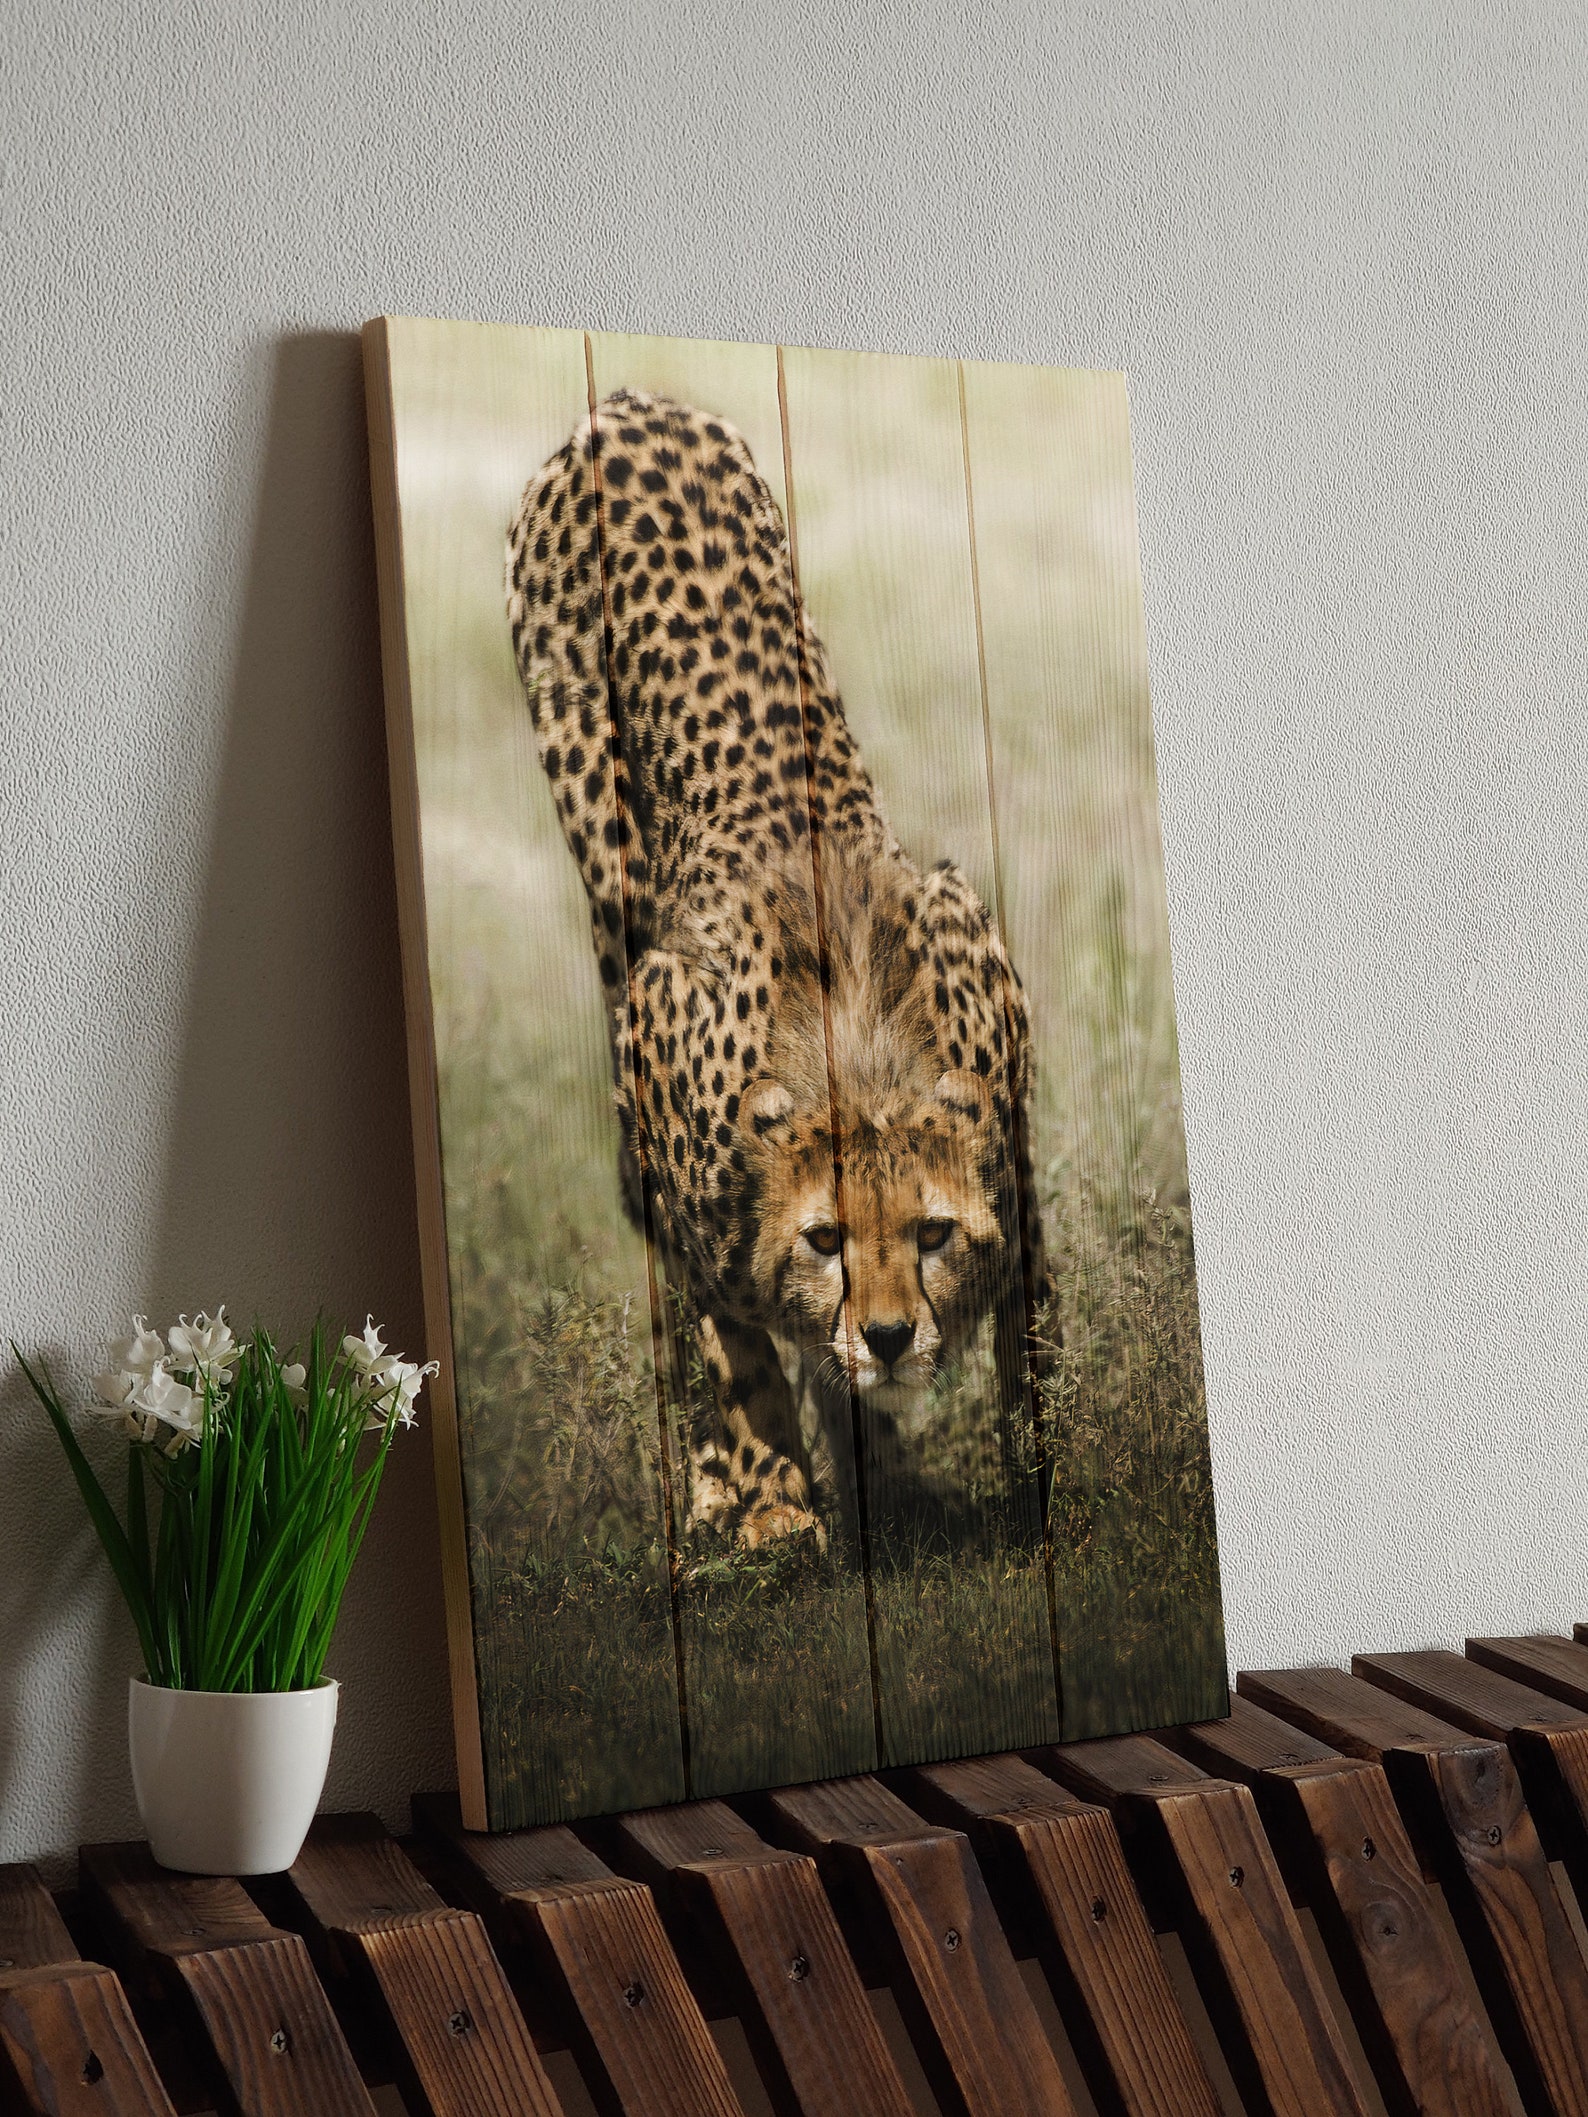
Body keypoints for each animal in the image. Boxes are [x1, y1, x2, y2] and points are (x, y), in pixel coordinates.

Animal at [506, 387, 1048, 1552]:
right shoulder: (661, 1051)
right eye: (824, 1238)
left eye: (933, 1231)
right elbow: (733, 1336)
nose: (888, 1334)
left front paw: (1020, 1474)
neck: (857, 1055)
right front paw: (773, 1503)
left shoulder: (1008, 1119)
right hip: (607, 867)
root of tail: (628, 401)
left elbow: (1031, 1330)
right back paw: (730, 1480)